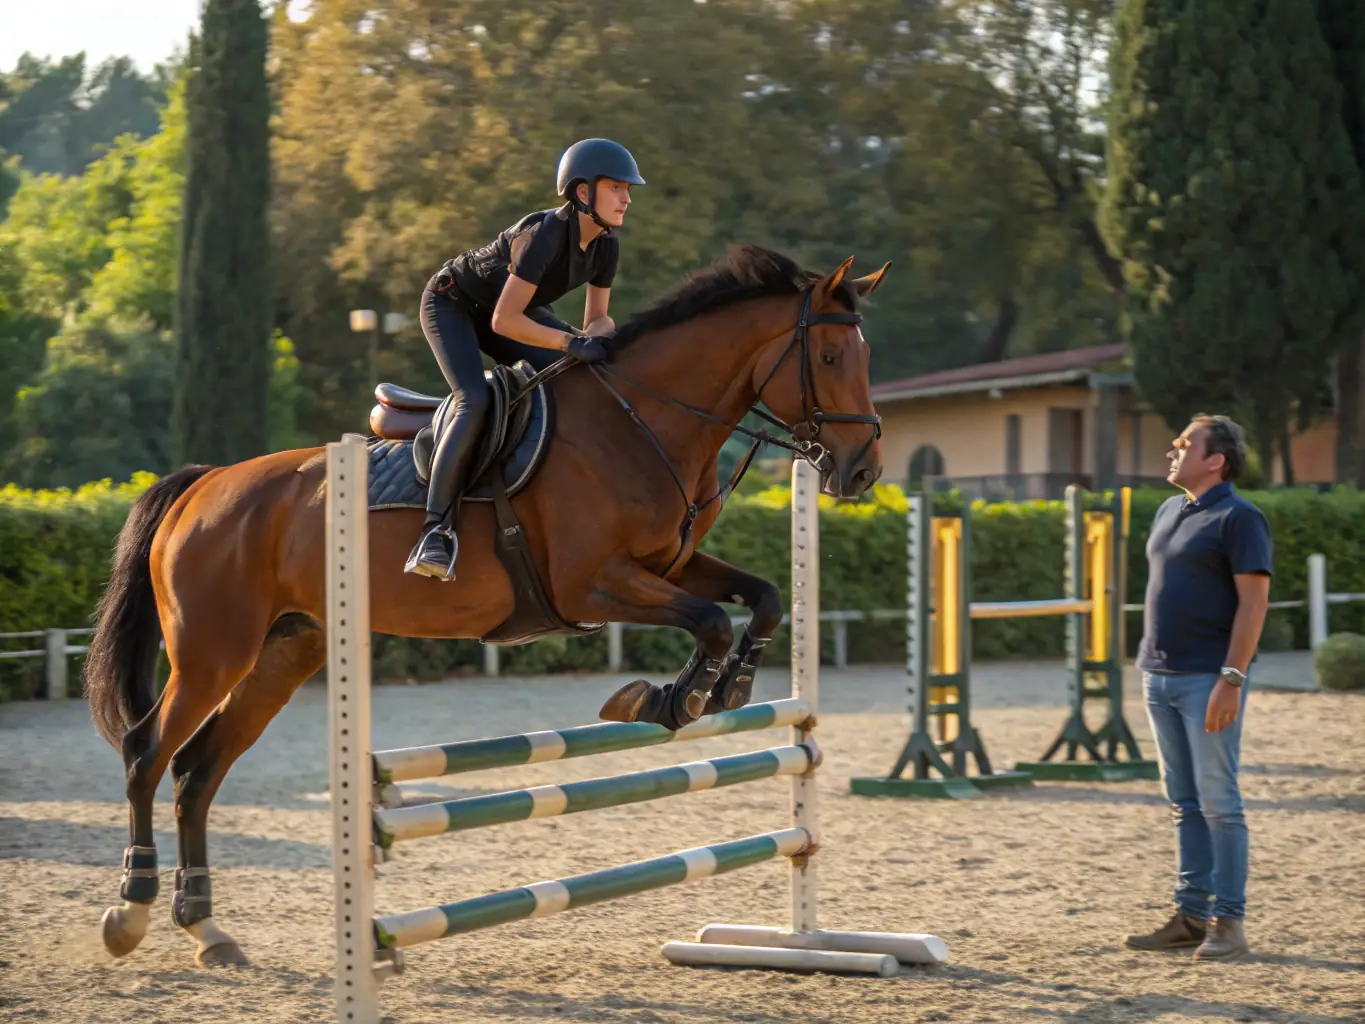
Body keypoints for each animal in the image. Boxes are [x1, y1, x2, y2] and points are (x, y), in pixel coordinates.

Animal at [82, 243, 889, 967]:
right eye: (828, 359)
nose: (861, 471)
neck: (641, 422)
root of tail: (202, 485)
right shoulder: (592, 583)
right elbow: (712, 621)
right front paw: (666, 700)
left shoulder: (673, 564)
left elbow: (764, 599)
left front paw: (730, 687)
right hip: (212, 652)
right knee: (148, 753)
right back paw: (130, 911)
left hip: (285, 650)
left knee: (199, 771)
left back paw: (207, 929)